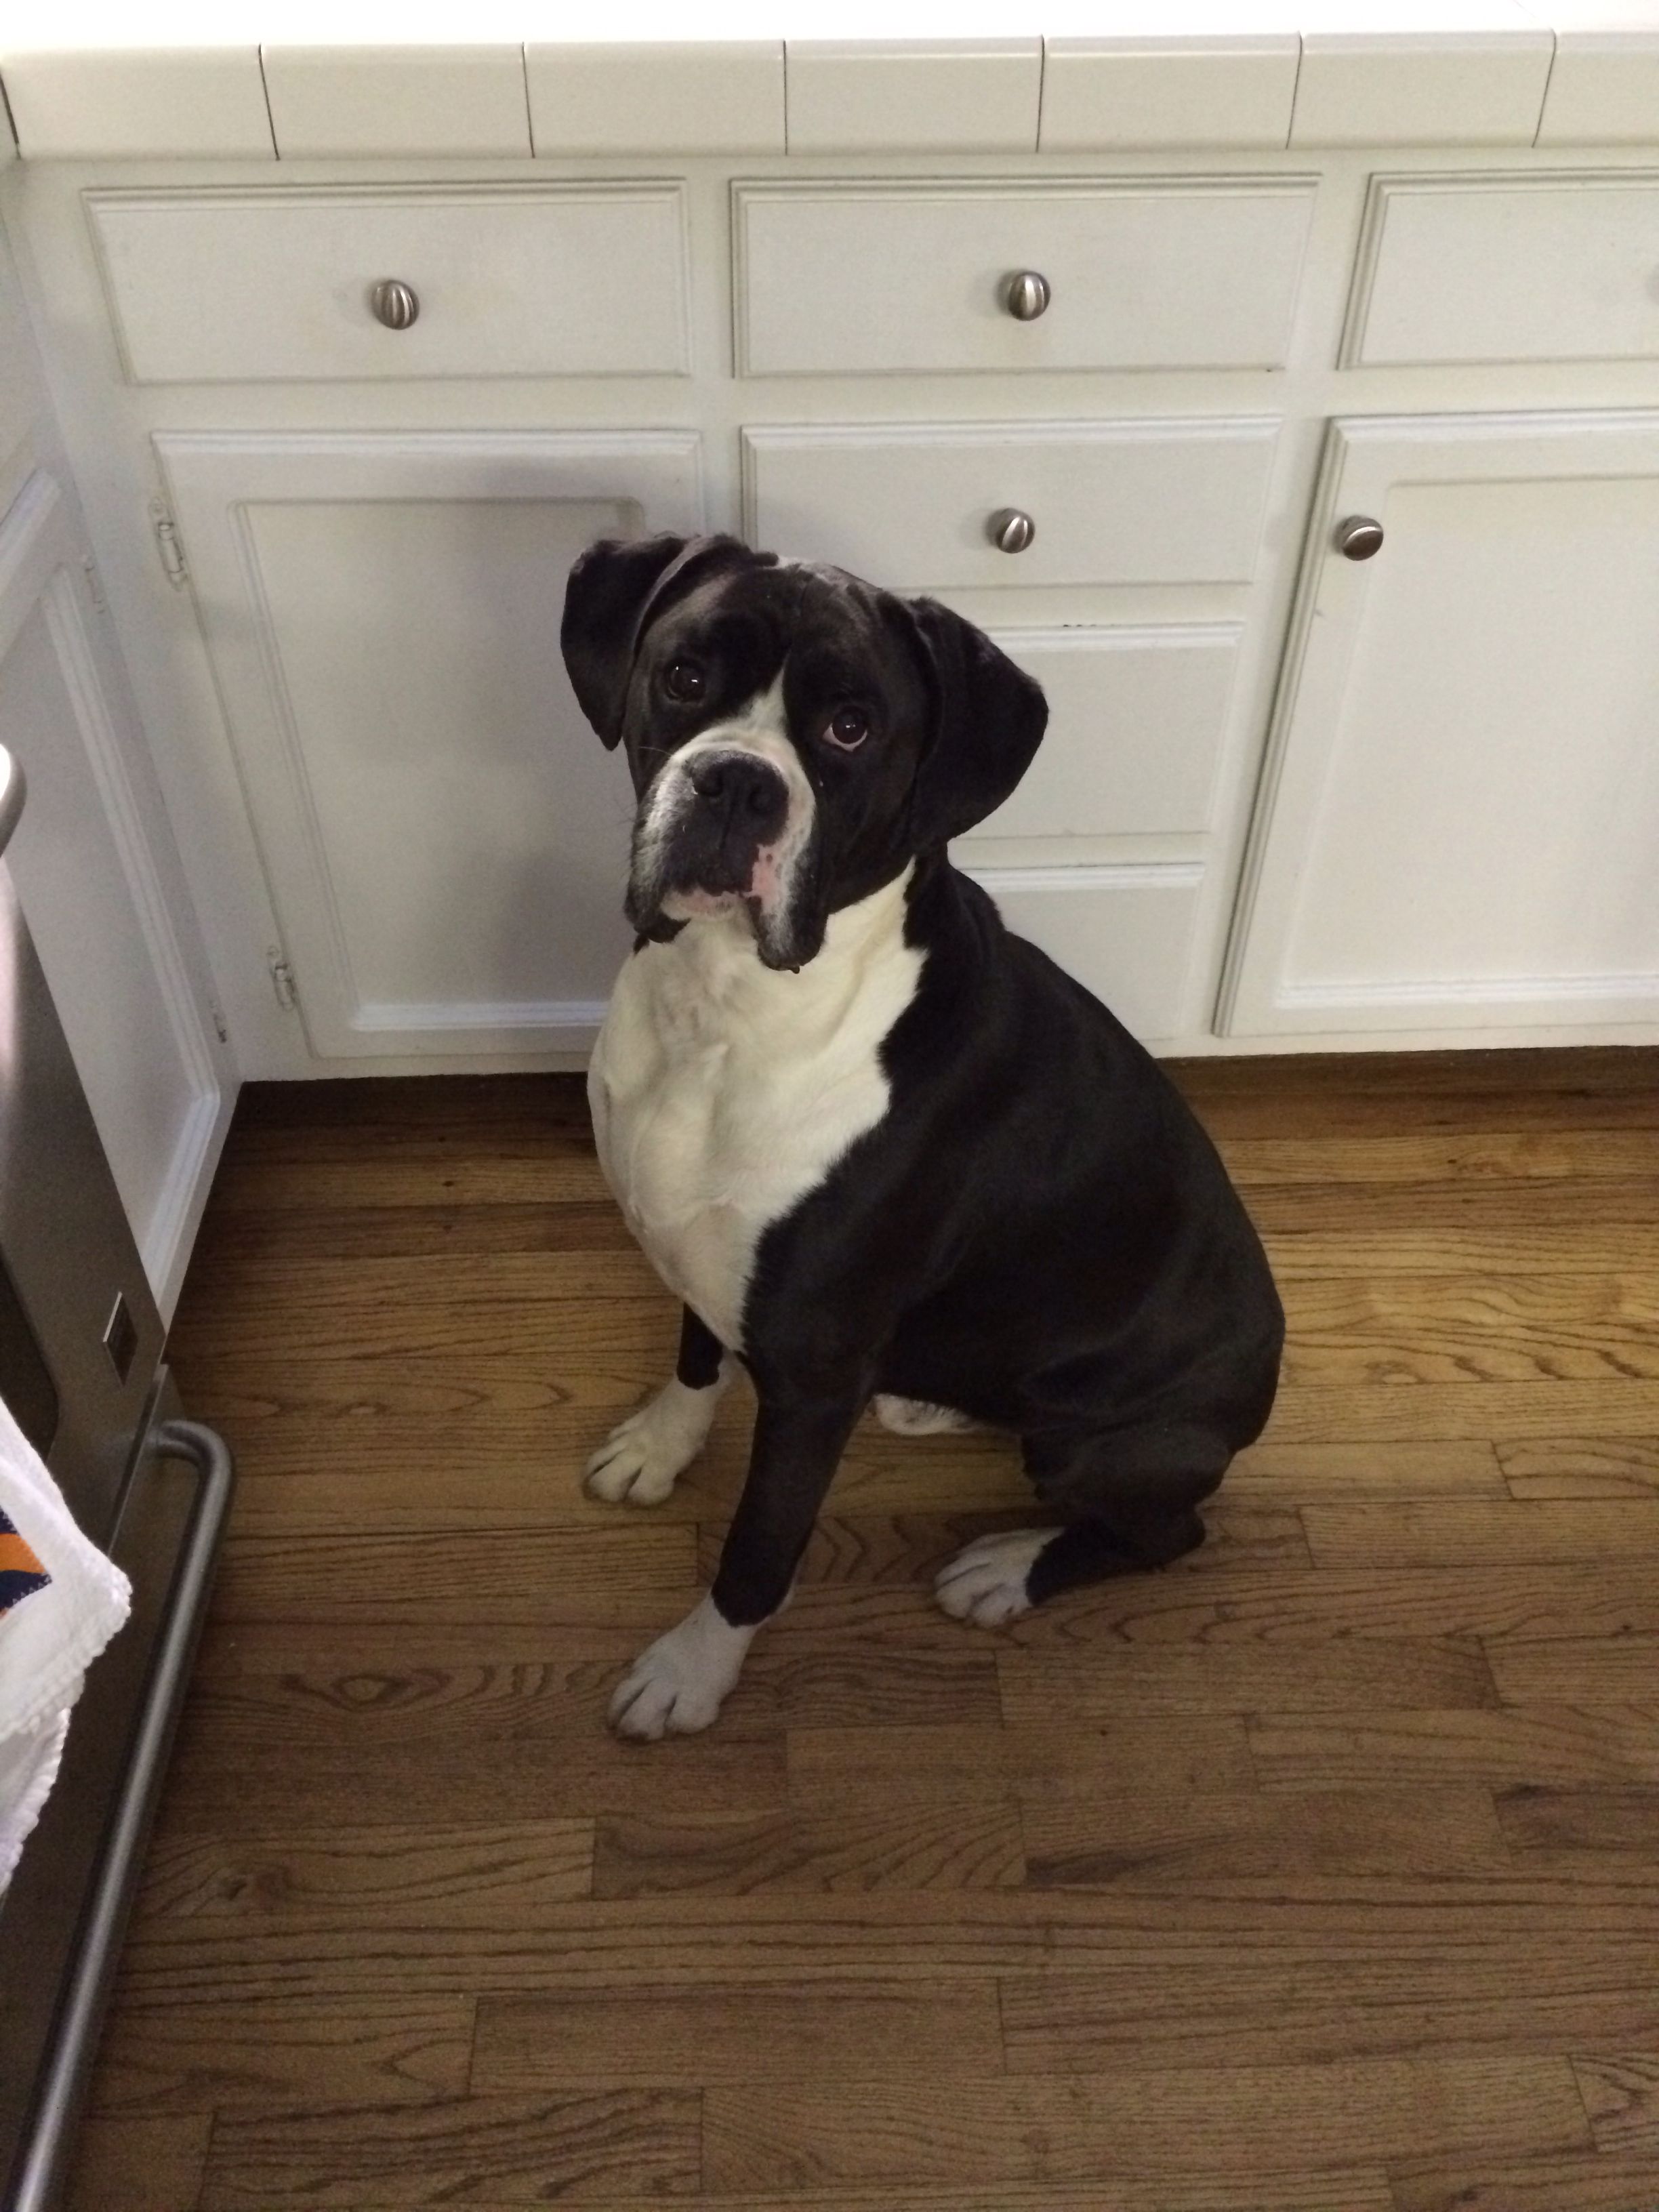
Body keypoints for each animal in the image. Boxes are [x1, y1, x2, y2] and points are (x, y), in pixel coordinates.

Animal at [559, 539, 1283, 1743]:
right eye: (685, 677)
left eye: (851, 728)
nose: (737, 782)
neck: (726, 1007)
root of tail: (1266, 1379)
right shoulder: (703, 1246)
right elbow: (698, 1353)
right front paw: (662, 1446)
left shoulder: (811, 1384)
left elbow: (760, 1551)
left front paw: (692, 1671)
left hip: (1106, 1444)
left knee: (1169, 1533)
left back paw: (1008, 1568)